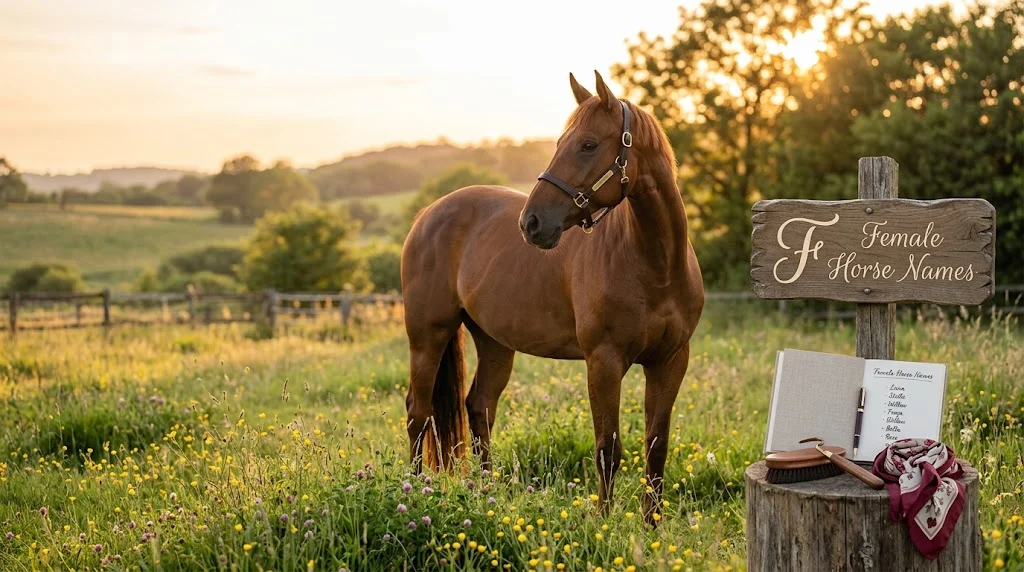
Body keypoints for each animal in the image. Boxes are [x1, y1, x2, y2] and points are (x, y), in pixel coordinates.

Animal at [400, 70, 704, 522]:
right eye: (562, 142)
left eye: (588, 144)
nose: (531, 222)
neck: (657, 265)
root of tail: (427, 215)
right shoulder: (604, 361)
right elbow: (608, 448)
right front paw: (604, 522)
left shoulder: (670, 361)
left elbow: (657, 447)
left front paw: (652, 525)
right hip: (428, 336)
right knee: (418, 414)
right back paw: (414, 489)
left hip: (494, 342)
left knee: (479, 406)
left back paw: (486, 492)